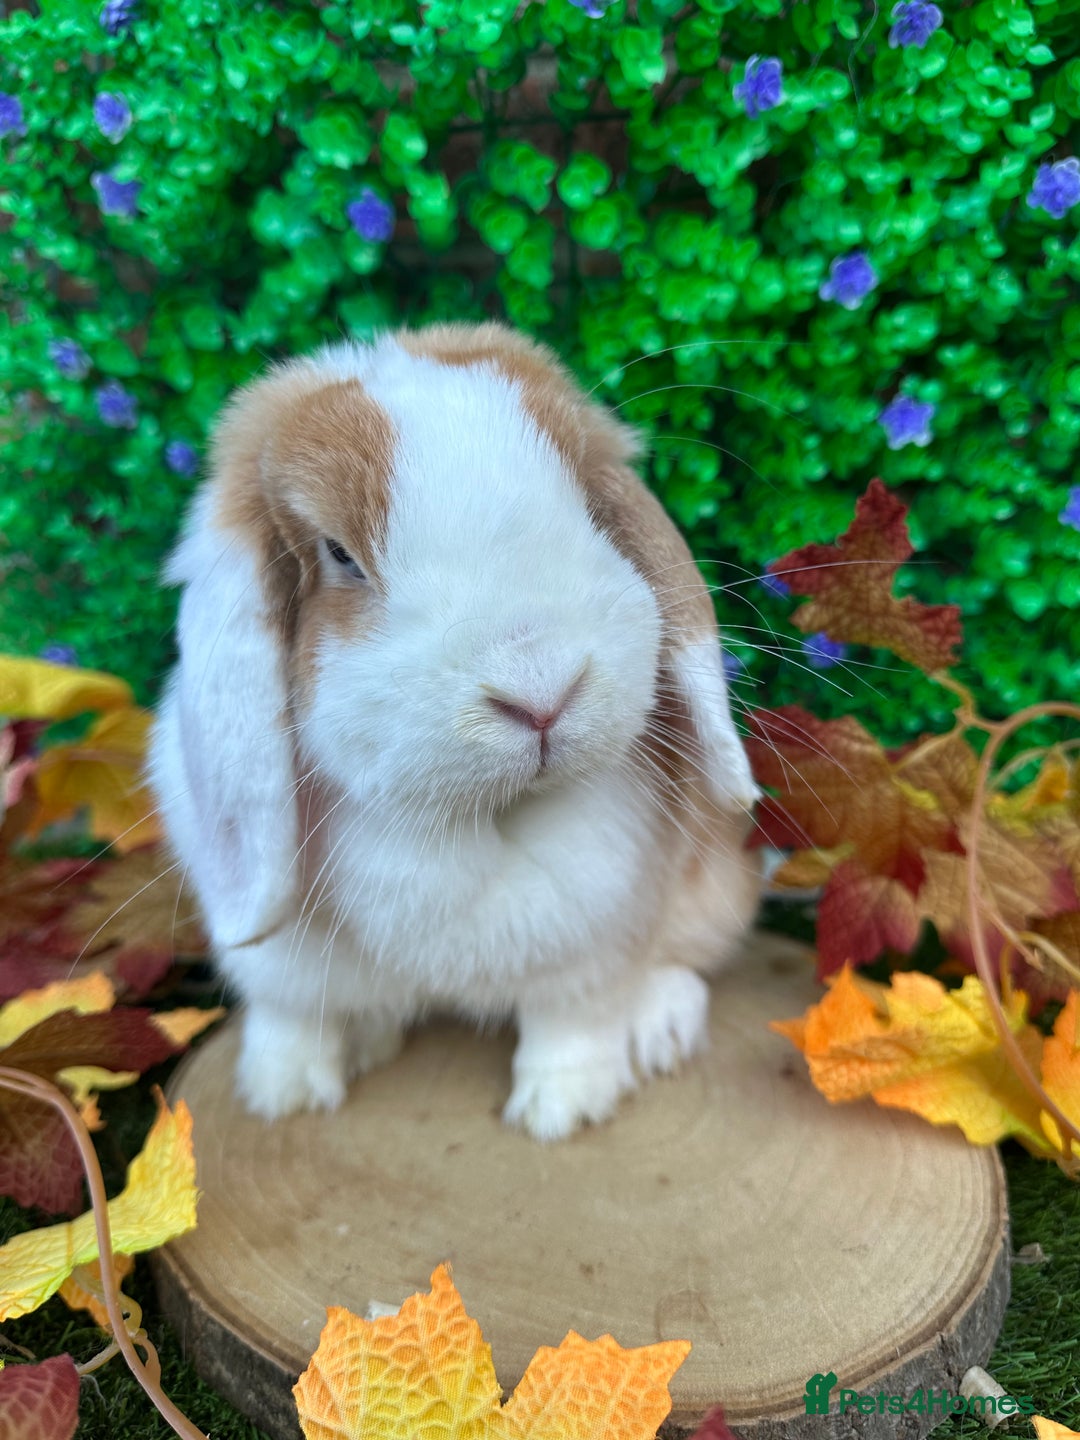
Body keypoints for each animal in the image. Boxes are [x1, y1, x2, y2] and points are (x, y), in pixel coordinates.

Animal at [149, 322, 762, 1141]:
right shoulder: (282, 964)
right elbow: (292, 1020)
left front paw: (561, 1111)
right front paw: (281, 1094)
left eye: (591, 506)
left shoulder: (593, 942)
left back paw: (658, 1027)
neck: (466, 818)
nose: (540, 690)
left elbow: (572, 1025)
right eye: (339, 555)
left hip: (711, 893)